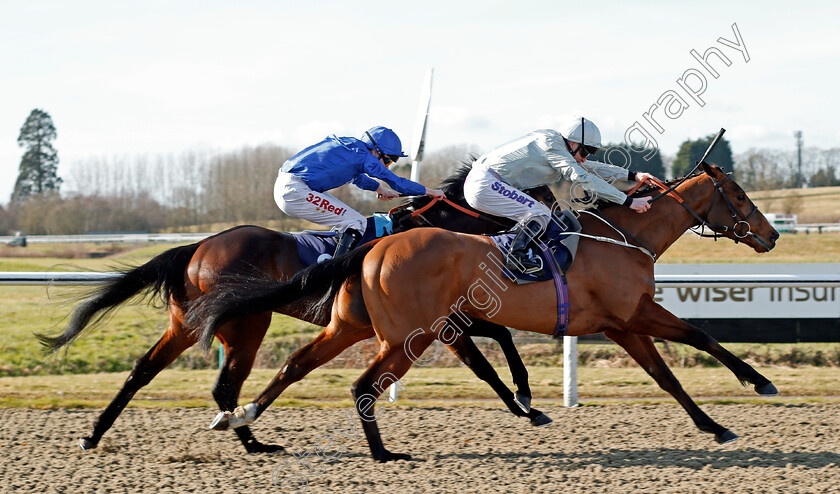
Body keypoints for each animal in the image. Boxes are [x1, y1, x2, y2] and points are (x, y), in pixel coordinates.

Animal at [37, 164, 552, 454]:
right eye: (536, 194)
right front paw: (526, 406)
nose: (549, 226)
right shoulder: (439, 322)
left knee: (144, 370)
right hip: (248, 324)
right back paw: (252, 440)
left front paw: (527, 402)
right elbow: (486, 361)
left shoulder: (440, 319)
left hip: (186, 324)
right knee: (223, 386)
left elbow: (498, 339)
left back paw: (95, 435)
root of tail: (199, 246)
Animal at [189, 163, 780, 464]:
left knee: (295, 367)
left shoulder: (622, 323)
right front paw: (731, 410)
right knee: (362, 385)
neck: (623, 237)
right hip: (408, 337)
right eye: (738, 194)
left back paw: (242, 418)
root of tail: (374, 245)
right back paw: (383, 455)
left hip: (352, 326)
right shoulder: (630, 319)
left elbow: (684, 357)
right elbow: (686, 354)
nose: (771, 235)